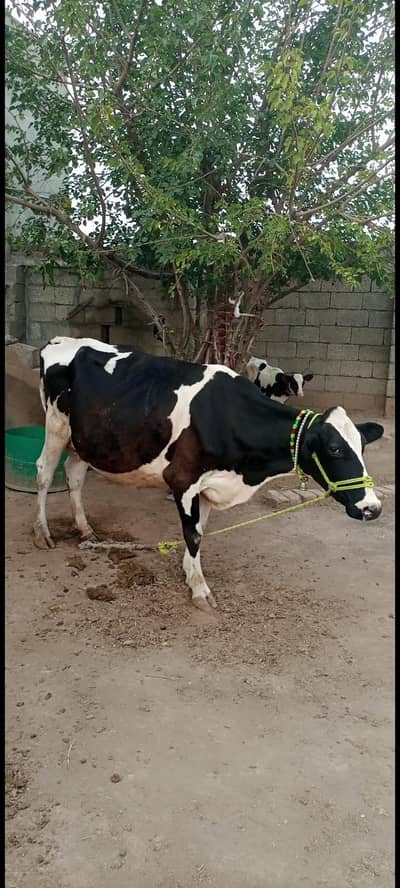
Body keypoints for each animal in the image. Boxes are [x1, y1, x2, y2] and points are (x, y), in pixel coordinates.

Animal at [34, 336, 383, 611]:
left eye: (362, 446)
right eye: (335, 449)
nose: (372, 508)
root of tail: (60, 340)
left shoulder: (212, 483)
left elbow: (200, 529)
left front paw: (191, 571)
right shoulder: (182, 478)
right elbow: (193, 533)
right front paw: (200, 589)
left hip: (85, 441)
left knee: (74, 475)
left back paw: (85, 530)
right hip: (56, 428)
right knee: (44, 473)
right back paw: (43, 533)